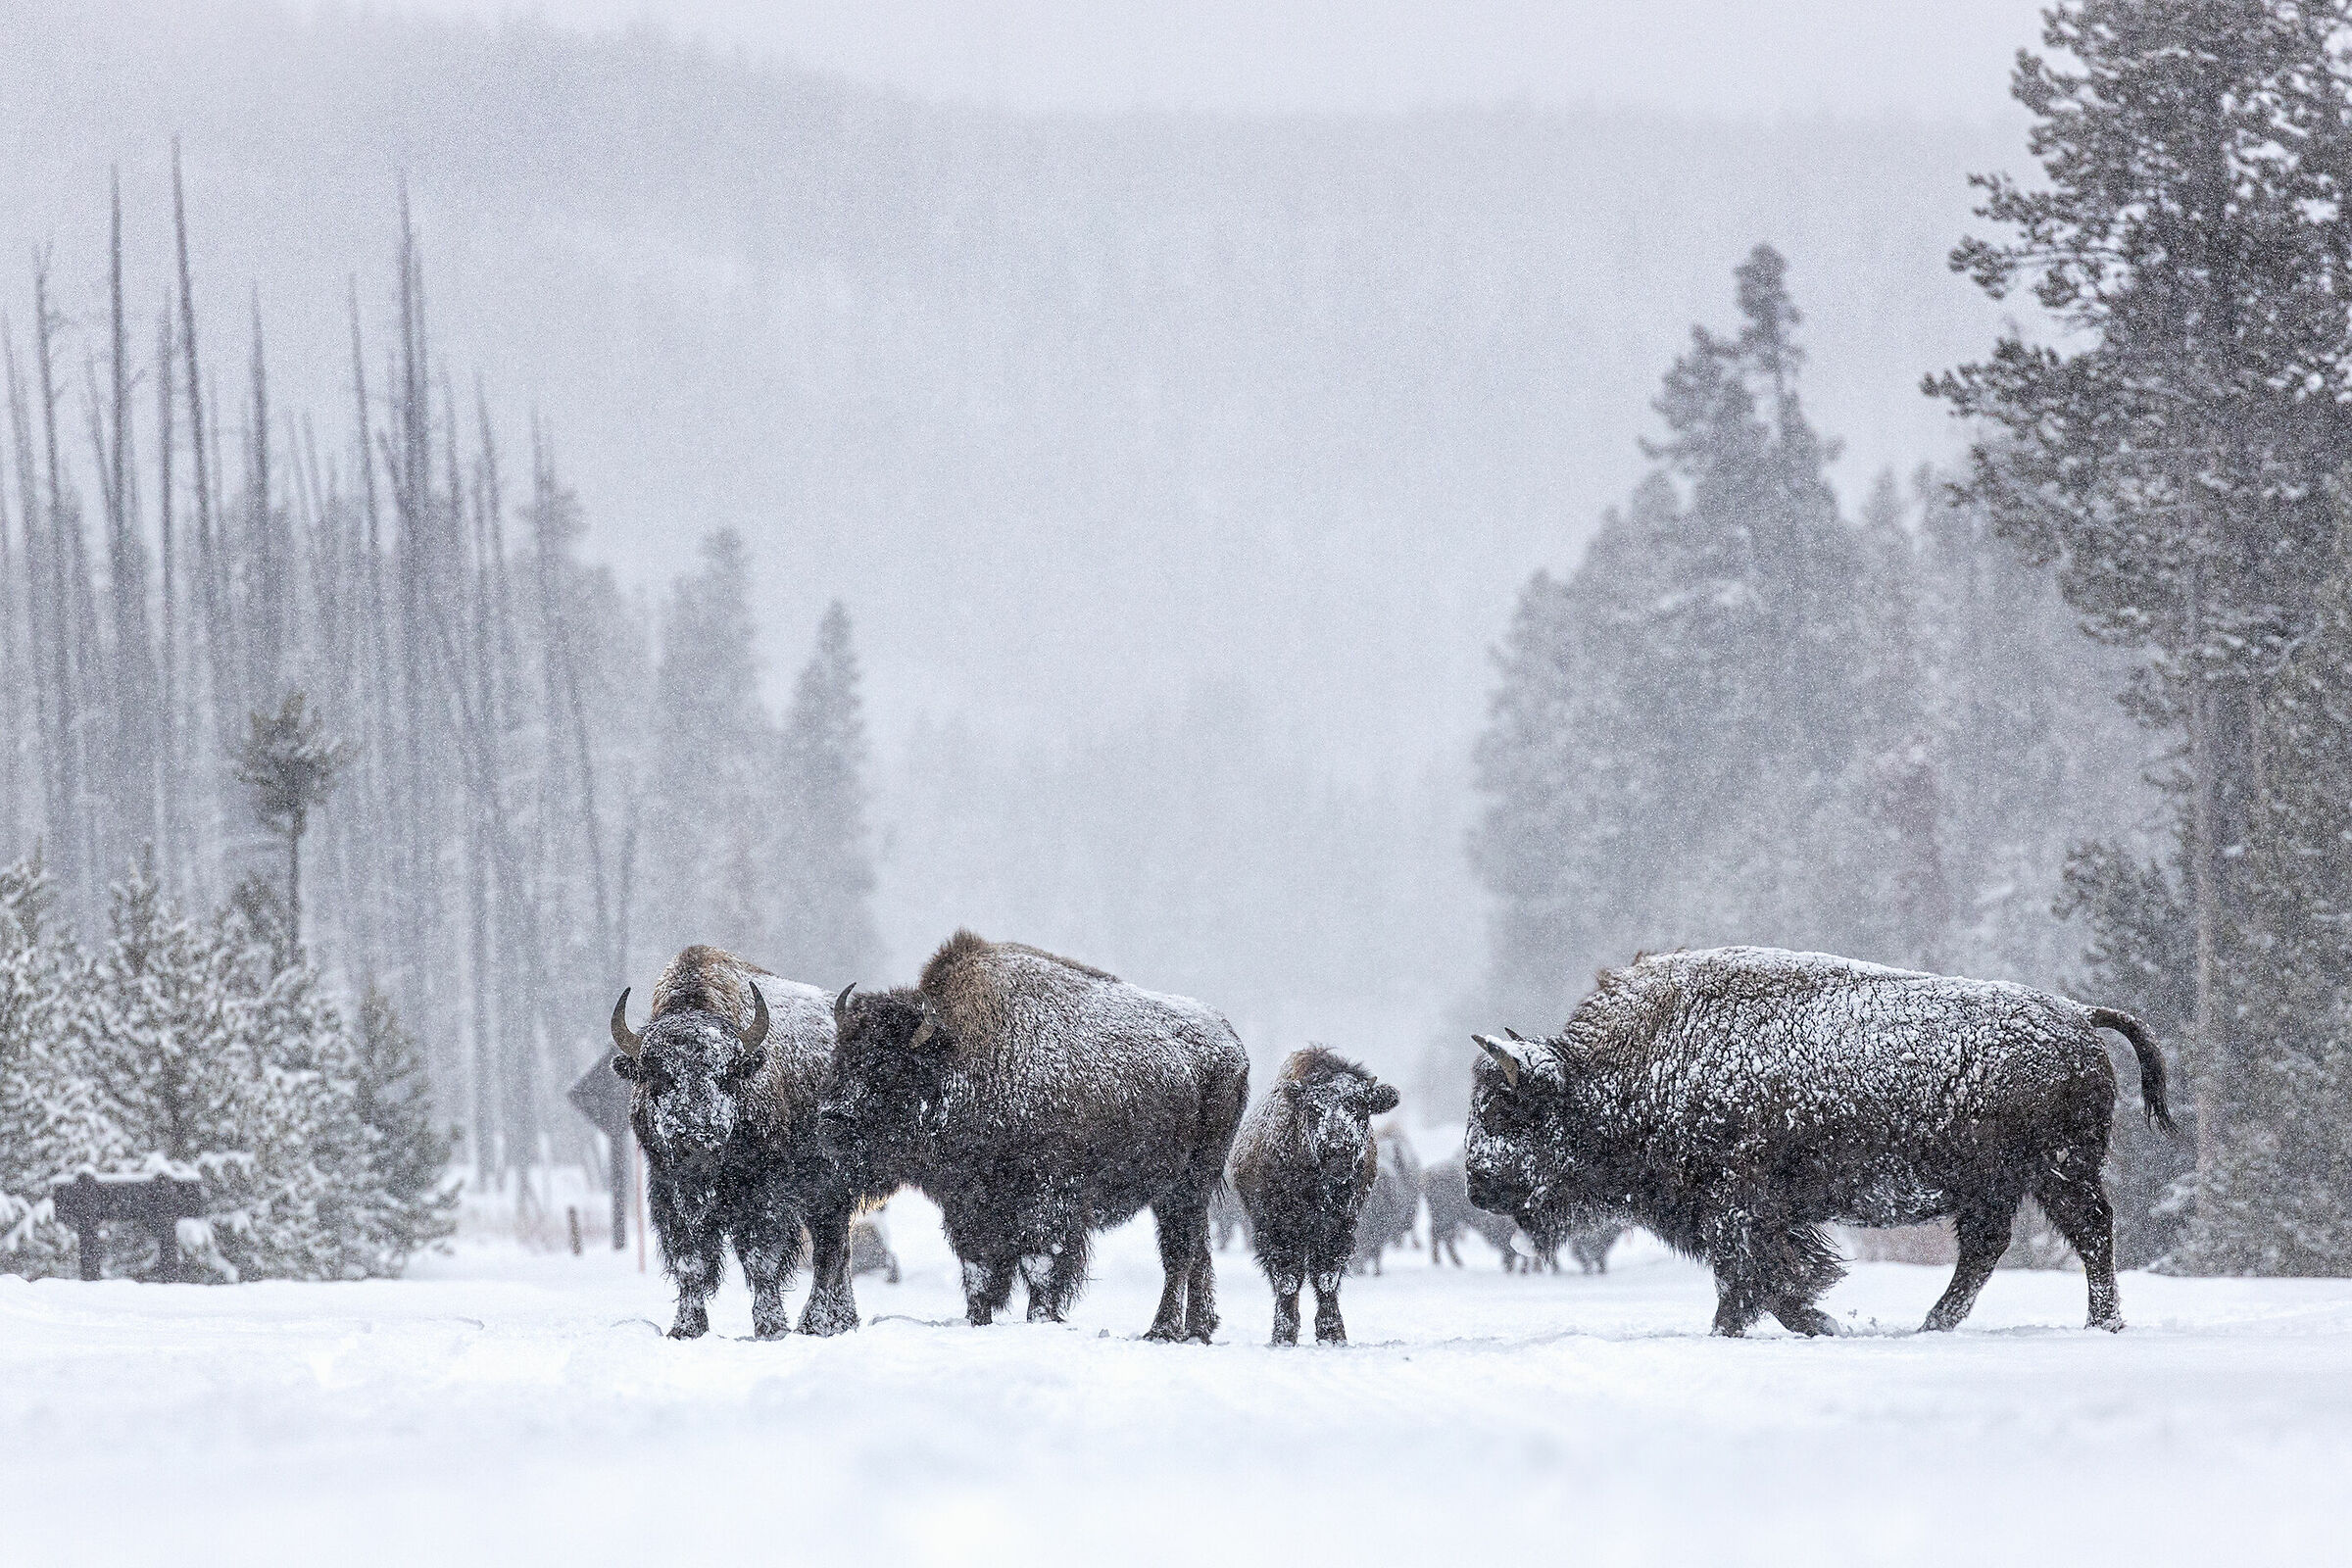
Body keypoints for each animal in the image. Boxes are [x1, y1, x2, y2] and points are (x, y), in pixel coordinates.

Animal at [610, 946, 884, 1339]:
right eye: (659, 1074)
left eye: (726, 1073)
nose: (697, 1135)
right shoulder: (671, 1193)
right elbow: (689, 1261)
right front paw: (686, 1328)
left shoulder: (763, 1197)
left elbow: (761, 1258)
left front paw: (771, 1327)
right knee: (840, 1252)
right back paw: (841, 1320)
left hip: (826, 1192)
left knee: (828, 1252)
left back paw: (814, 1323)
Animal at [819, 931, 1250, 1341]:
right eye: (840, 1059)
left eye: (889, 1069)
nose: (831, 1124)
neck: (961, 1057)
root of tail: (1230, 1043)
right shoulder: (967, 1204)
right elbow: (978, 1268)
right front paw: (978, 1320)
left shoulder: (1049, 1197)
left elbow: (1040, 1264)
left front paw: (1041, 1318)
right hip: (1181, 1191)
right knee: (1197, 1249)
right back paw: (1198, 1328)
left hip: (1186, 1184)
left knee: (1179, 1252)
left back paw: (1162, 1330)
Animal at [1466, 946, 2173, 1336]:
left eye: (1504, 1110)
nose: (1476, 1185)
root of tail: (2079, 1014)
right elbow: (1775, 1281)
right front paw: (1822, 1323)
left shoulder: (1737, 1208)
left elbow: (1756, 1280)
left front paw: (1760, 1328)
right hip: (1998, 1185)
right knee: (1988, 1248)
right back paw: (1932, 1324)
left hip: (2058, 1172)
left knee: (2090, 1233)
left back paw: (2101, 1322)